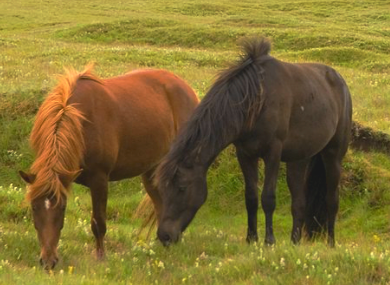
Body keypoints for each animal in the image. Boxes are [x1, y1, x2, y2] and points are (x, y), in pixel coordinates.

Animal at [19, 66, 200, 268]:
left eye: (63, 207)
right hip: (152, 170)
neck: (81, 122)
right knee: (160, 204)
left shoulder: (100, 180)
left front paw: (100, 257)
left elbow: (98, 223)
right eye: (34, 207)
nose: (48, 261)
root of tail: (186, 87)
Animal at [155, 37, 354, 246]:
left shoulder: (273, 152)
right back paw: (294, 242)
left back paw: (330, 243)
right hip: (299, 159)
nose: (164, 235)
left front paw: (269, 241)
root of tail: (340, 81)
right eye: (161, 189)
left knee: (332, 200)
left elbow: (268, 198)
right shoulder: (245, 154)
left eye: (182, 188)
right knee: (299, 202)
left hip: (333, 155)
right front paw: (251, 238)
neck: (257, 101)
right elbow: (250, 198)